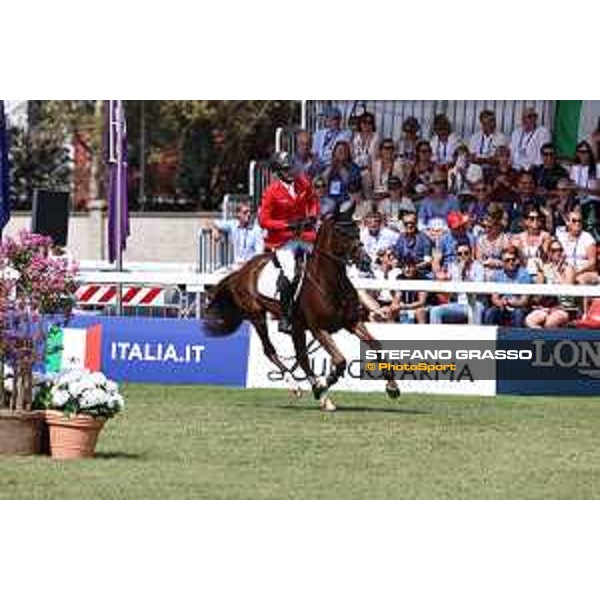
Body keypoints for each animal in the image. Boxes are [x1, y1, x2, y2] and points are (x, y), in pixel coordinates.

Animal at [203, 213, 398, 410]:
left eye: (357, 230)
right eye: (340, 231)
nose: (365, 261)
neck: (329, 282)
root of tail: (242, 271)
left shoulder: (352, 322)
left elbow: (376, 346)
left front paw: (392, 386)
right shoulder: (318, 329)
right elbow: (340, 361)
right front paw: (323, 384)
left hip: (296, 326)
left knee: (302, 357)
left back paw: (323, 397)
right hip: (257, 316)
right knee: (270, 350)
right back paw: (298, 387)